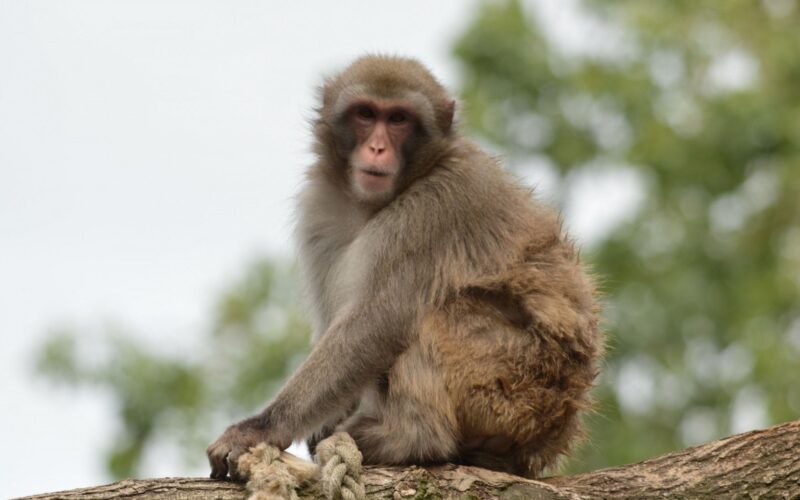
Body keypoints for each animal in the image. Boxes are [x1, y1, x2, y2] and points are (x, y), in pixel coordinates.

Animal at [209, 55, 604, 480]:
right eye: (365, 114)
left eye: (399, 119)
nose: (378, 147)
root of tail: (551, 437)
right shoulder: (319, 206)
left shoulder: (433, 209)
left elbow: (375, 323)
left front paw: (262, 427)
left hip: (514, 387)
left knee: (435, 316)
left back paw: (414, 438)